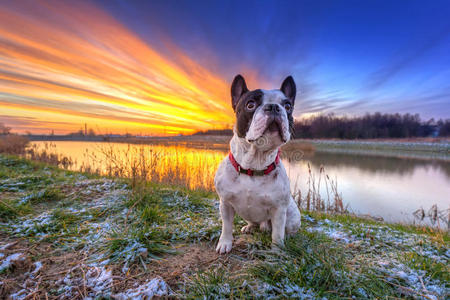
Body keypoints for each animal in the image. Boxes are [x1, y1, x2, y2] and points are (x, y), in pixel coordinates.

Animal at [215, 74, 300, 253]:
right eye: (250, 105)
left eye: (288, 106)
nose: (274, 107)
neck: (253, 164)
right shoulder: (225, 203)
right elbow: (226, 226)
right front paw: (225, 243)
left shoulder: (279, 210)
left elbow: (277, 233)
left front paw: (277, 250)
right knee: (253, 223)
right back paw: (249, 227)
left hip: (292, 217)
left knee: (285, 229)